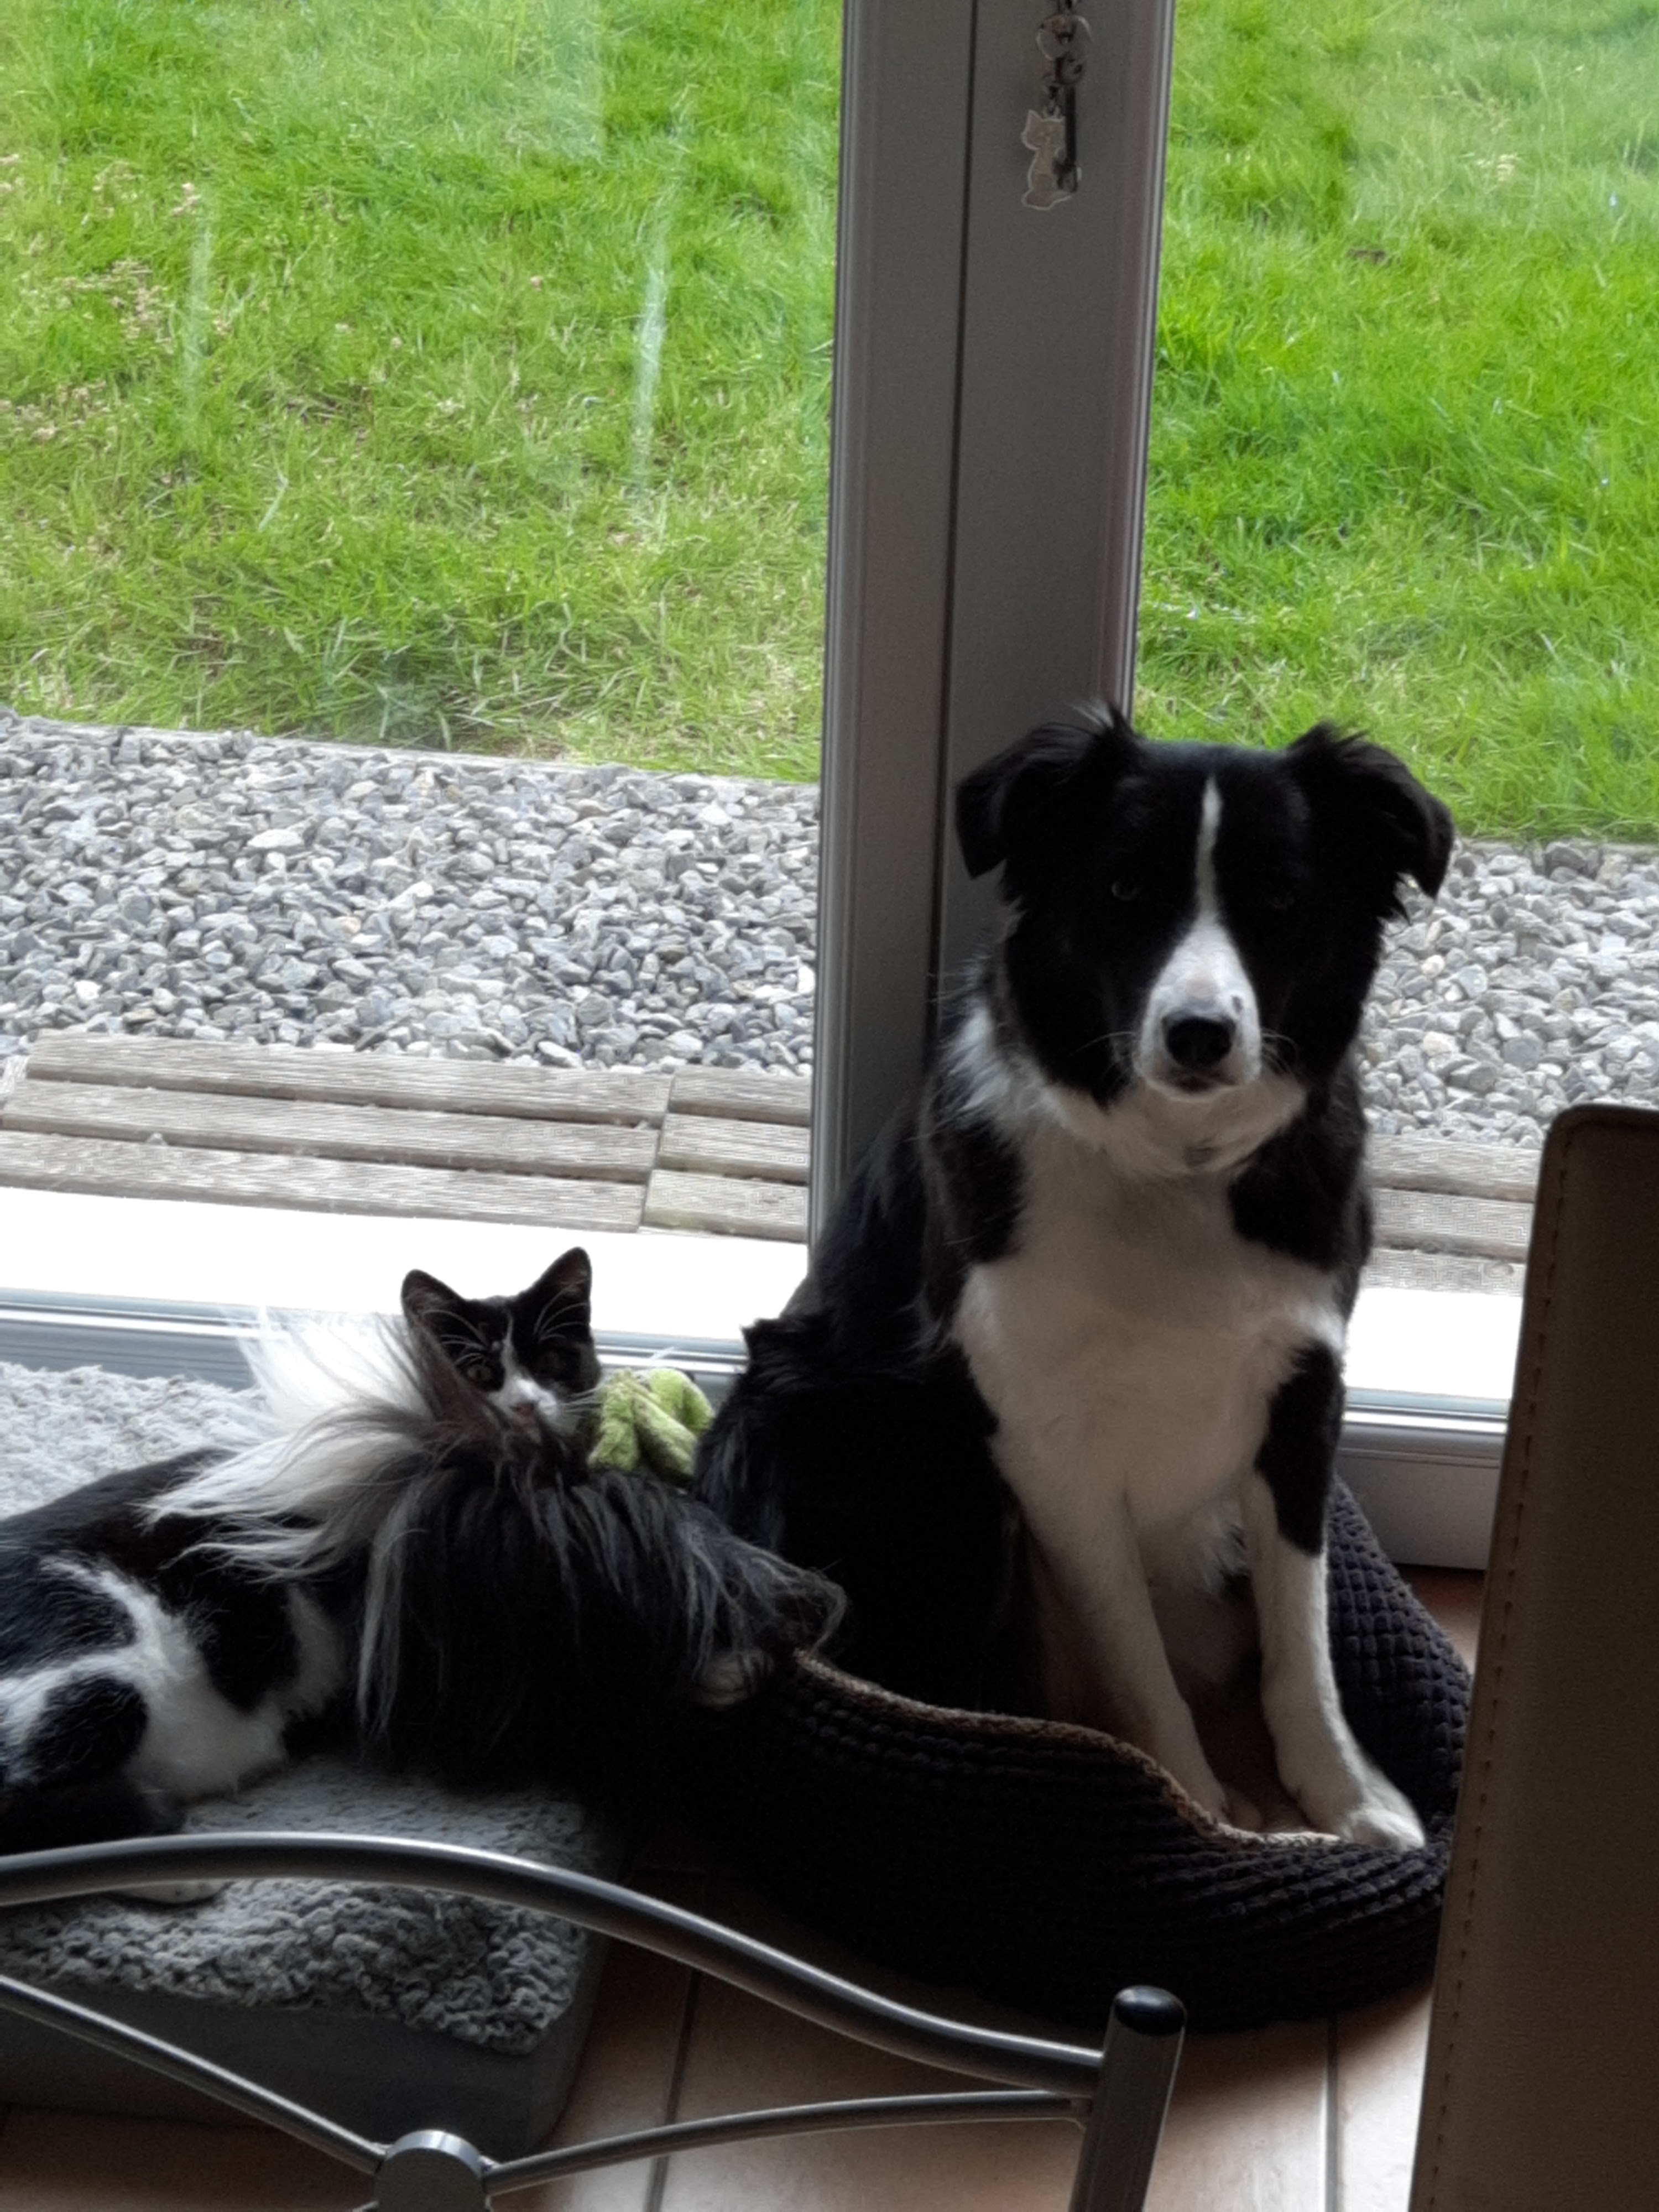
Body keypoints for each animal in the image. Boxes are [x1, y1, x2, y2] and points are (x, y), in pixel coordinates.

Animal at [696, 709, 1453, 1848]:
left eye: (1280, 901)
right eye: (1125, 889)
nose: (1199, 1034)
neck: (1174, 1168)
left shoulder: (1303, 1396)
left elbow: (1304, 1639)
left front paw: (1349, 1800)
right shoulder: (1045, 1441)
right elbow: (1137, 1662)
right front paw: (1197, 1814)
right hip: (911, 1443)